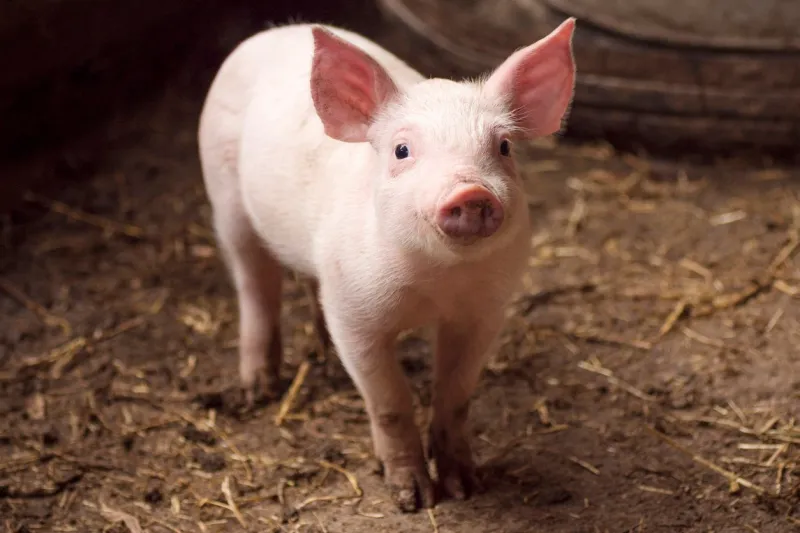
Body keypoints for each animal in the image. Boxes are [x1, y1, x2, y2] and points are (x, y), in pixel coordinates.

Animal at [198, 18, 577, 511]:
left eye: (505, 146)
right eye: (401, 150)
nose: (471, 191)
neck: (437, 284)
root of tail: (269, 34)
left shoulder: (485, 313)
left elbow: (455, 398)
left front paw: (465, 487)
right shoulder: (355, 314)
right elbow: (391, 403)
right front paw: (413, 499)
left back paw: (320, 354)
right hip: (225, 196)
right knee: (255, 285)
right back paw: (258, 390)